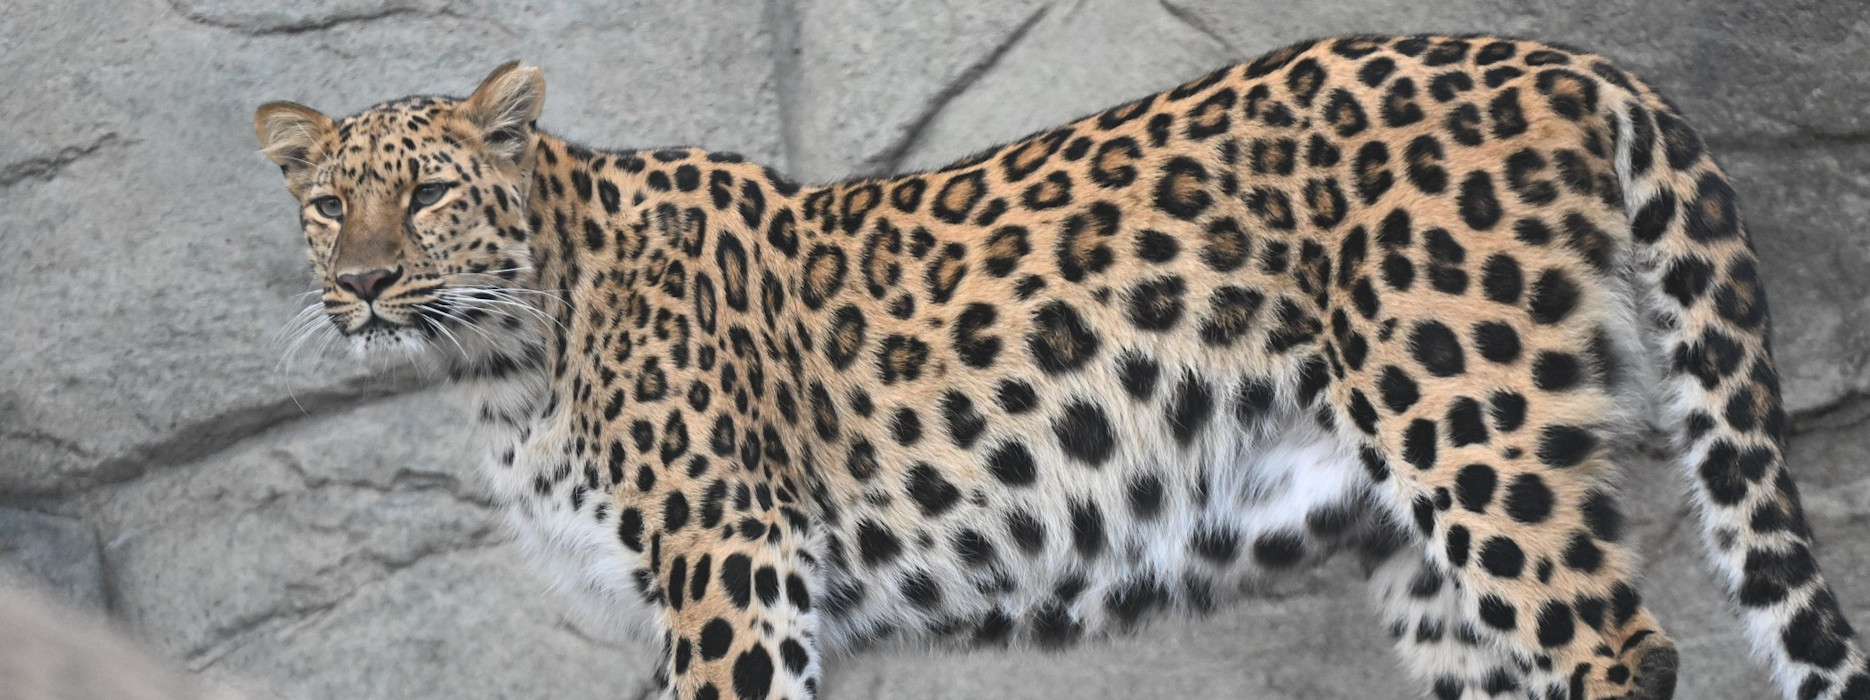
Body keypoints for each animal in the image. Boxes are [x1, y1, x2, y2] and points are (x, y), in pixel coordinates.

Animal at [253, 34, 1866, 700]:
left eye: (431, 194)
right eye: (328, 203)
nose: (365, 282)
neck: (502, 356)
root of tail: (1568, 59)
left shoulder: (732, 563)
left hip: (1472, 421)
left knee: (1621, 648)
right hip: (1426, 532)